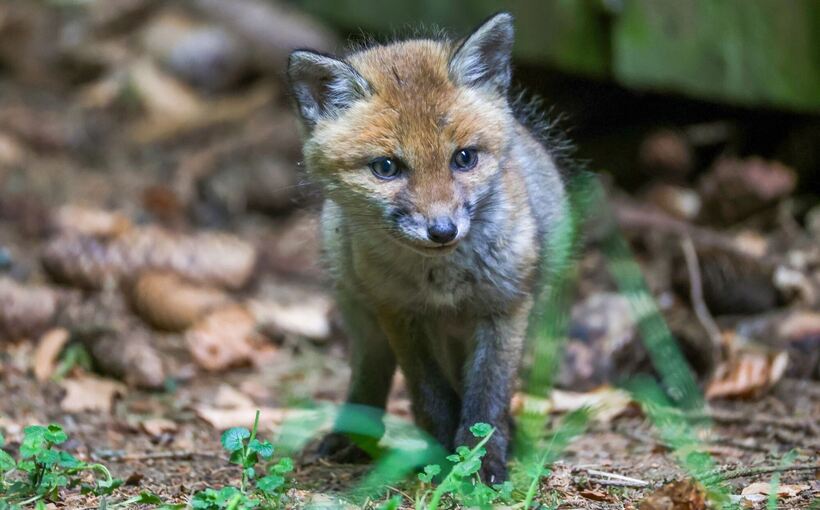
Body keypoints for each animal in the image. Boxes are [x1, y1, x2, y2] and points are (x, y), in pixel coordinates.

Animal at [287, 12, 570, 482]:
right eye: (386, 167)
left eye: (464, 158)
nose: (442, 230)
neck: (443, 281)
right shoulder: (399, 312)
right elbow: (430, 394)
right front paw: (441, 458)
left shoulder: (506, 306)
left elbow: (487, 396)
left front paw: (480, 463)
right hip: (361, 310)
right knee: (370, 374)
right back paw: (352, 436)